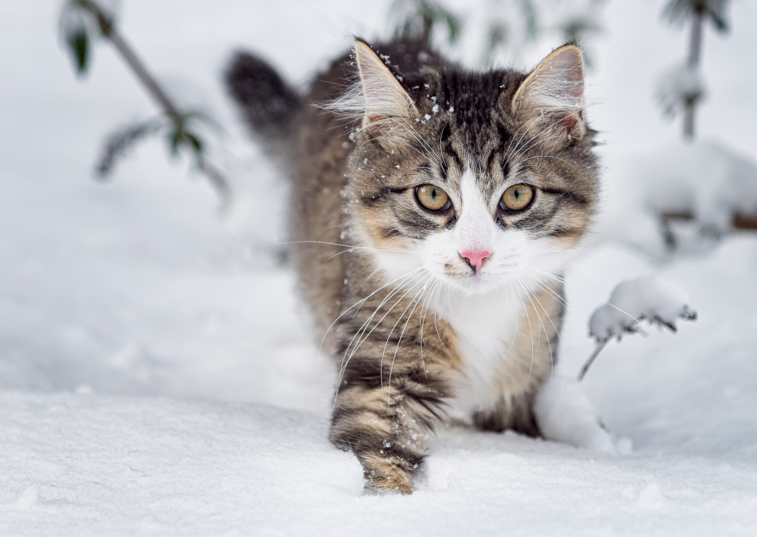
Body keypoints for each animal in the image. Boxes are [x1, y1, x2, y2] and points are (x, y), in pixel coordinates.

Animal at [224, 37, 596, 492]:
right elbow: (378, 453)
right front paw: (390, 500)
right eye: (432, 197)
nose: (475, 255)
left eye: (517, 196)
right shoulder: (383, 365)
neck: (478, 312)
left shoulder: (522, 378)